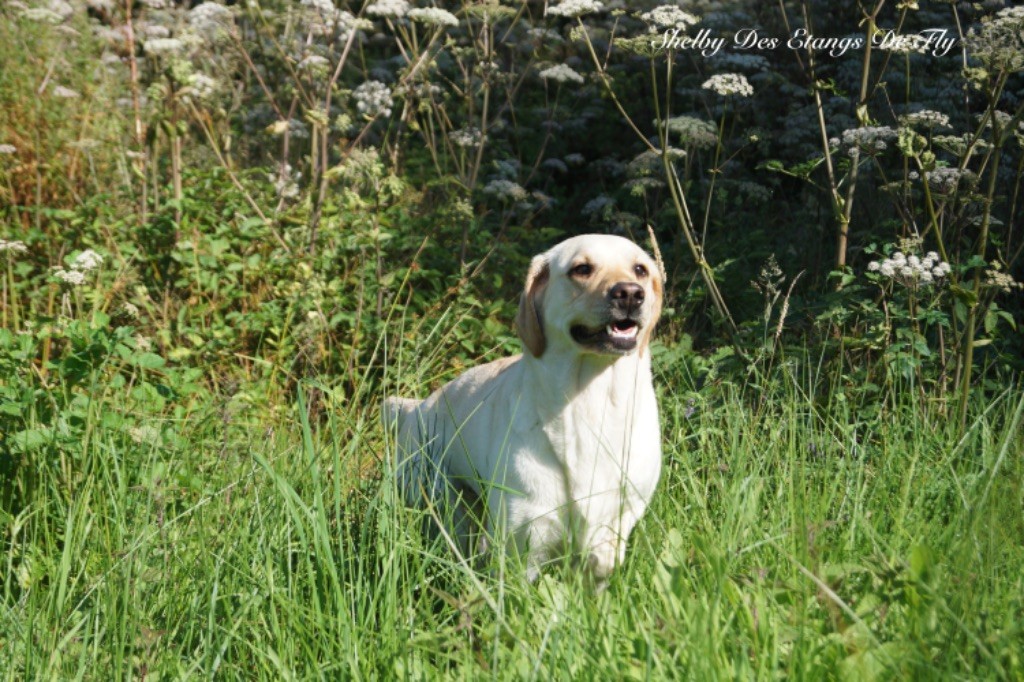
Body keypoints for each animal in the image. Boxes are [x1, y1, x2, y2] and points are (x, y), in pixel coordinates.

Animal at [385, 233, 663, 585]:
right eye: (581, 269)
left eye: (640, 269)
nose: (630, 293)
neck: (590, 396)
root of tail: (417, 407)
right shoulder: (525, 534)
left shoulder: (622, 513)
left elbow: (602, 559)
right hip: (440, 498)